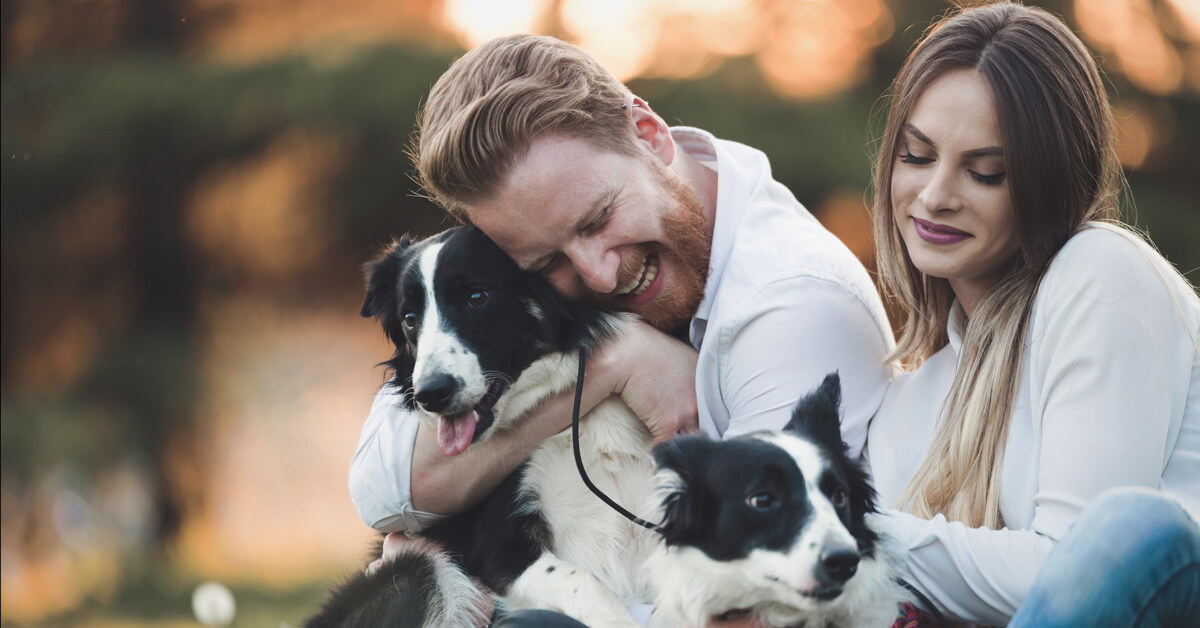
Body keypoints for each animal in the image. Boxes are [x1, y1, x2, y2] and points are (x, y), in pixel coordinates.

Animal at [304, 226, 662, 628]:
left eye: (476, 298)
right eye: (410, 317)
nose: (431, 394)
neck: (583, 420)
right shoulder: (499, 548)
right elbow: (584, 582)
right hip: (416, 567)